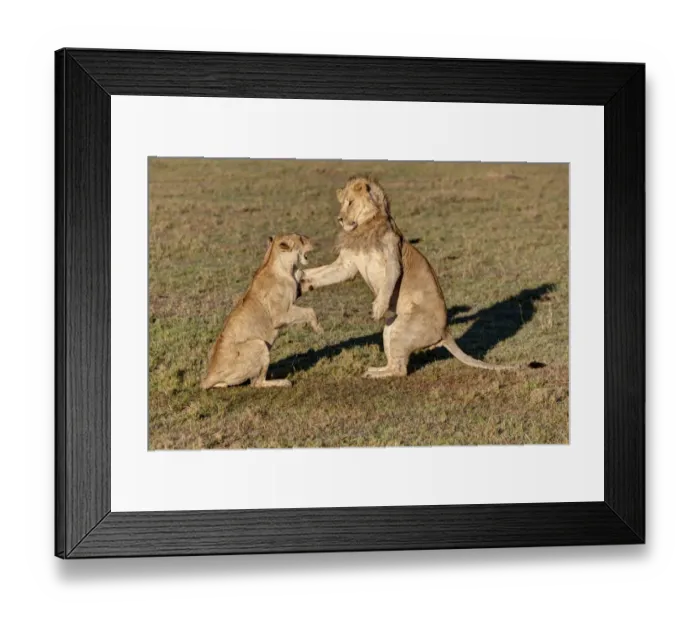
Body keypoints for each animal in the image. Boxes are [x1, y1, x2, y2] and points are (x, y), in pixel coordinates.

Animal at [201, 234, 322, 389]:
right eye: (301, 239)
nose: (313, 241)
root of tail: (209, 375)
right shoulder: (280, 315)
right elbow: (309, 311)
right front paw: (318, 328)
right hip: (259, 344)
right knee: (257, 383)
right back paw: (284, 382)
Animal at [301, 176, 540, 378]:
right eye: (342, 203)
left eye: (350, 203)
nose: (340, 219)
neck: (364, 228)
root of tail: (445, 331)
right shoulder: (347, 265)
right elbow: (322, 273)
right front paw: (302, 281)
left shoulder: (392, 259)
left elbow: (388, 284)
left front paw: (377, 308)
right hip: (390, 330)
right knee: (395, 363)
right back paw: (374, 369)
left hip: (400, 330)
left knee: (400, 370)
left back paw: (374, 374)